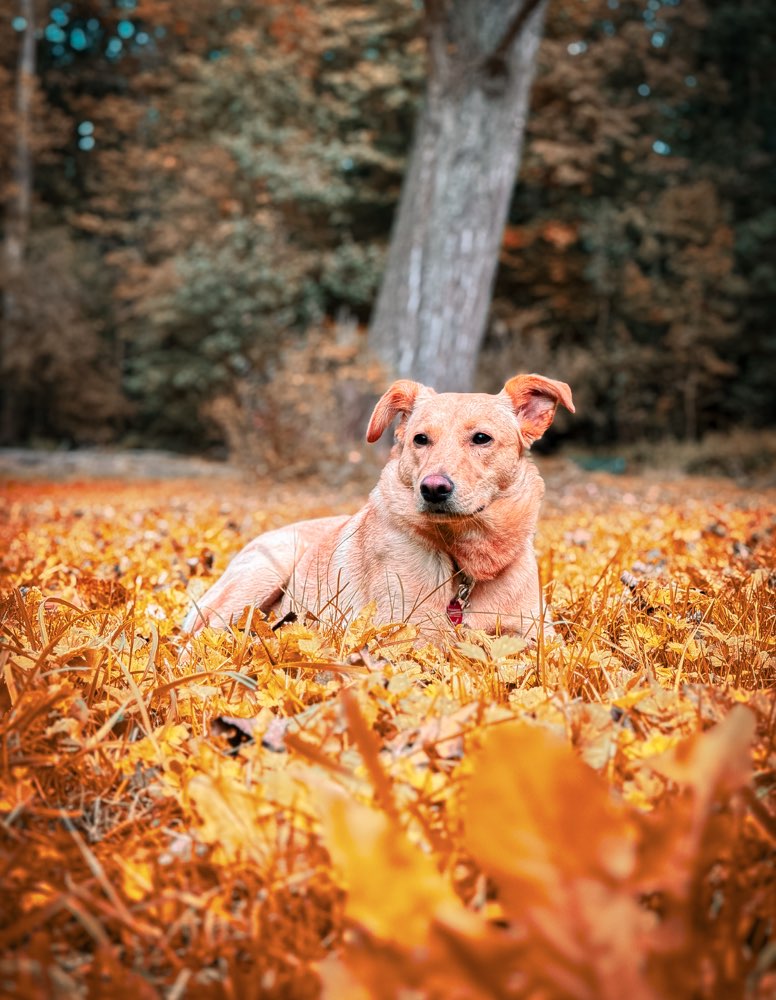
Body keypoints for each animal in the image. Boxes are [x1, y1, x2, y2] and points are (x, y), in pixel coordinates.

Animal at [180, 374, 568, 640]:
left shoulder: (539, 636)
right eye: (420, 439)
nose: (433, 488)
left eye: (482, 439)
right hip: (259, 576)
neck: (465, 562)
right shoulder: (405, 633)